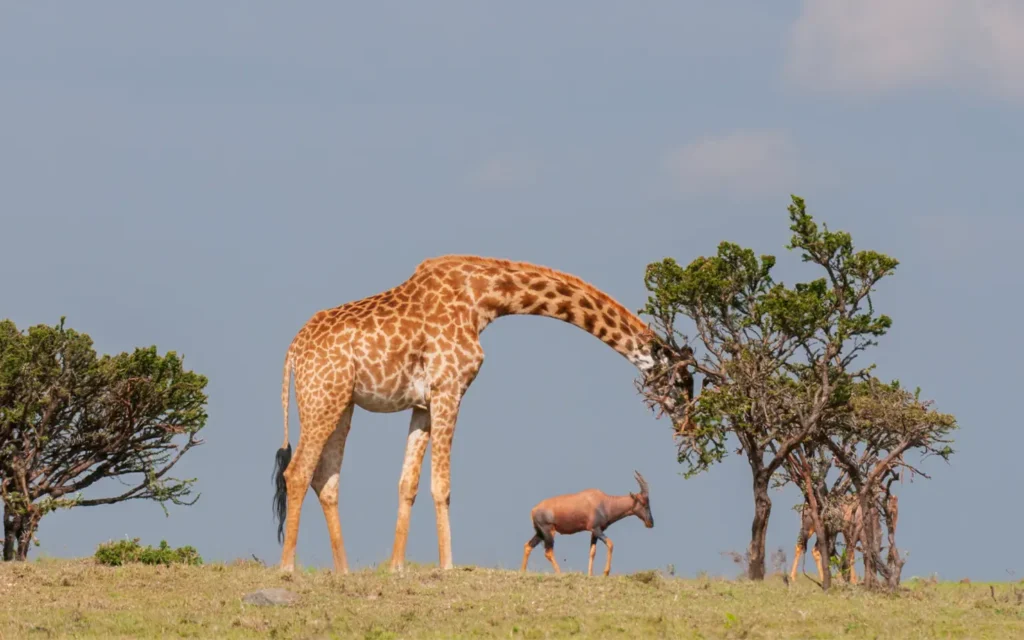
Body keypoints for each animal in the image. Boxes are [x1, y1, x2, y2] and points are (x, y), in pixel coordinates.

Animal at [272, 254, 695, 574]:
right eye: (682, 382)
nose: (688, 427)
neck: (484, 299)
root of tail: (293, 350)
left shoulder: (423, 403)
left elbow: (408, 483)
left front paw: (396, 567)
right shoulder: (449, 388)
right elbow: (441, 484)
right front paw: (447, 566)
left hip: (341, 403)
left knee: (325, 479)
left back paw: (343, 571)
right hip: (321, 398)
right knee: (297, 471)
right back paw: (288, 567)